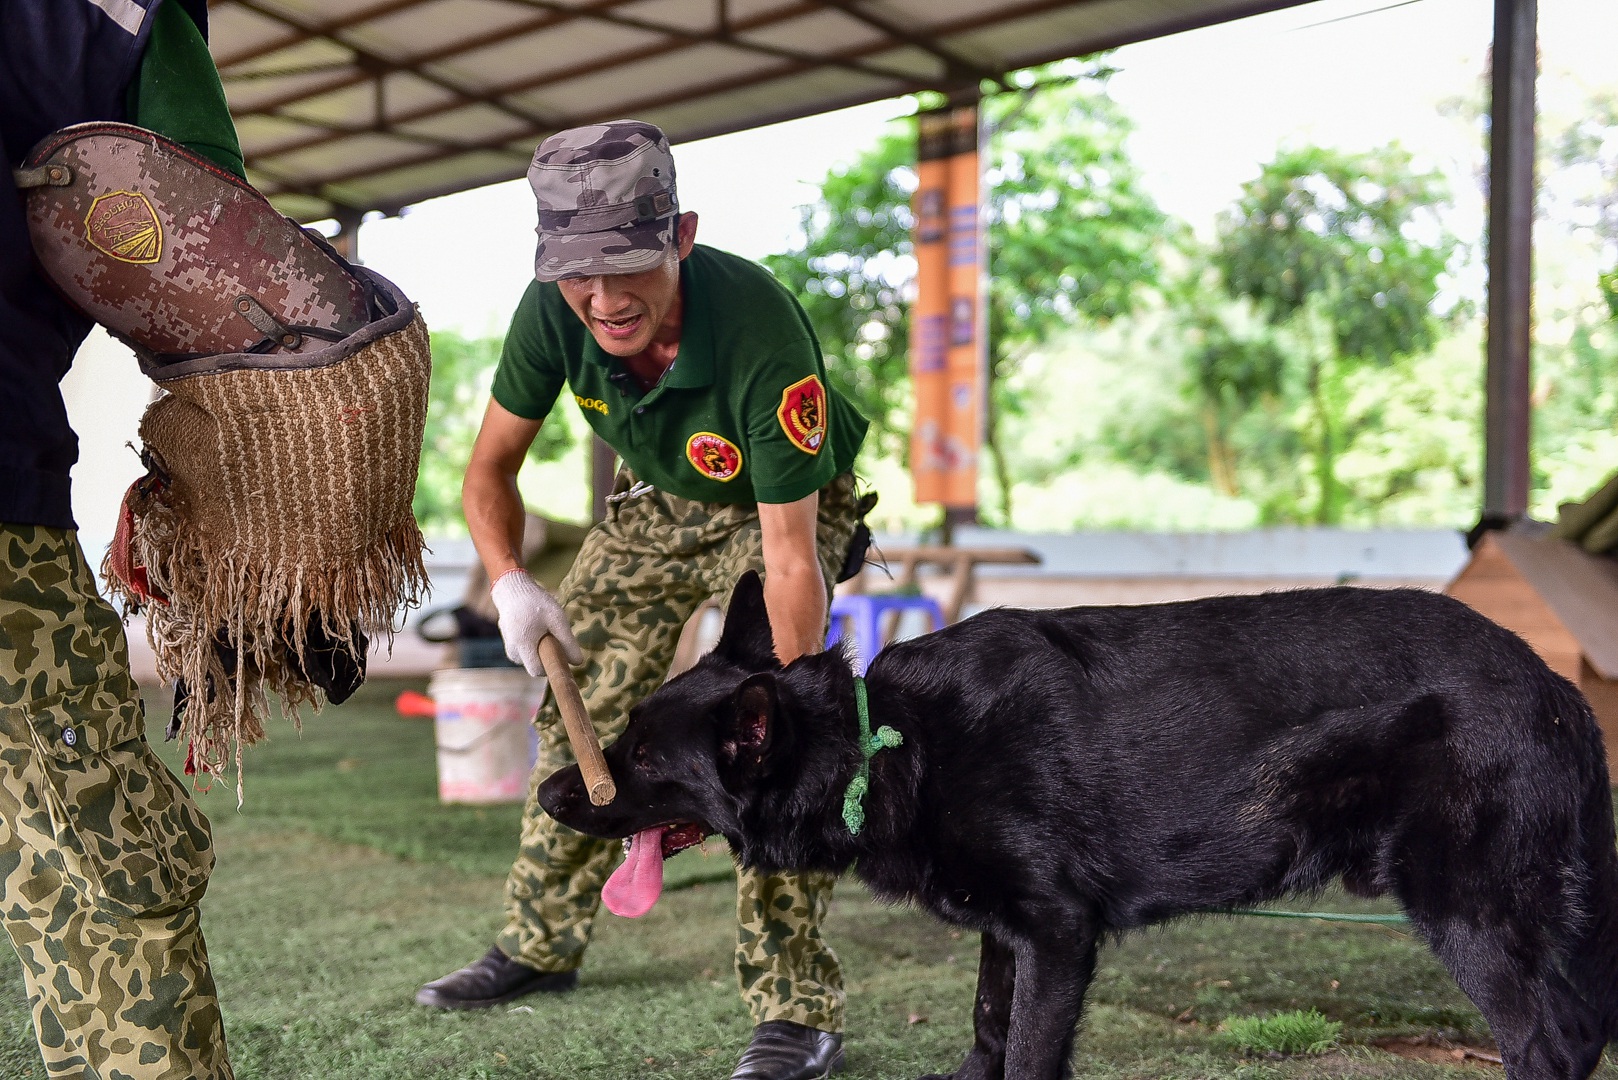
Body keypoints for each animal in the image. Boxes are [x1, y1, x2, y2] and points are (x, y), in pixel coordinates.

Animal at [543, 573, 1618, 1080]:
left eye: (643, 759)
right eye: (623, 738)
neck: (884, 740)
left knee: (1551, 1043)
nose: (553, 793)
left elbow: (1027, 1050)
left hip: (1465, 910)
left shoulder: (1059, 937)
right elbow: (989, 1026)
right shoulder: (1008, 934)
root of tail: (1554, 686)